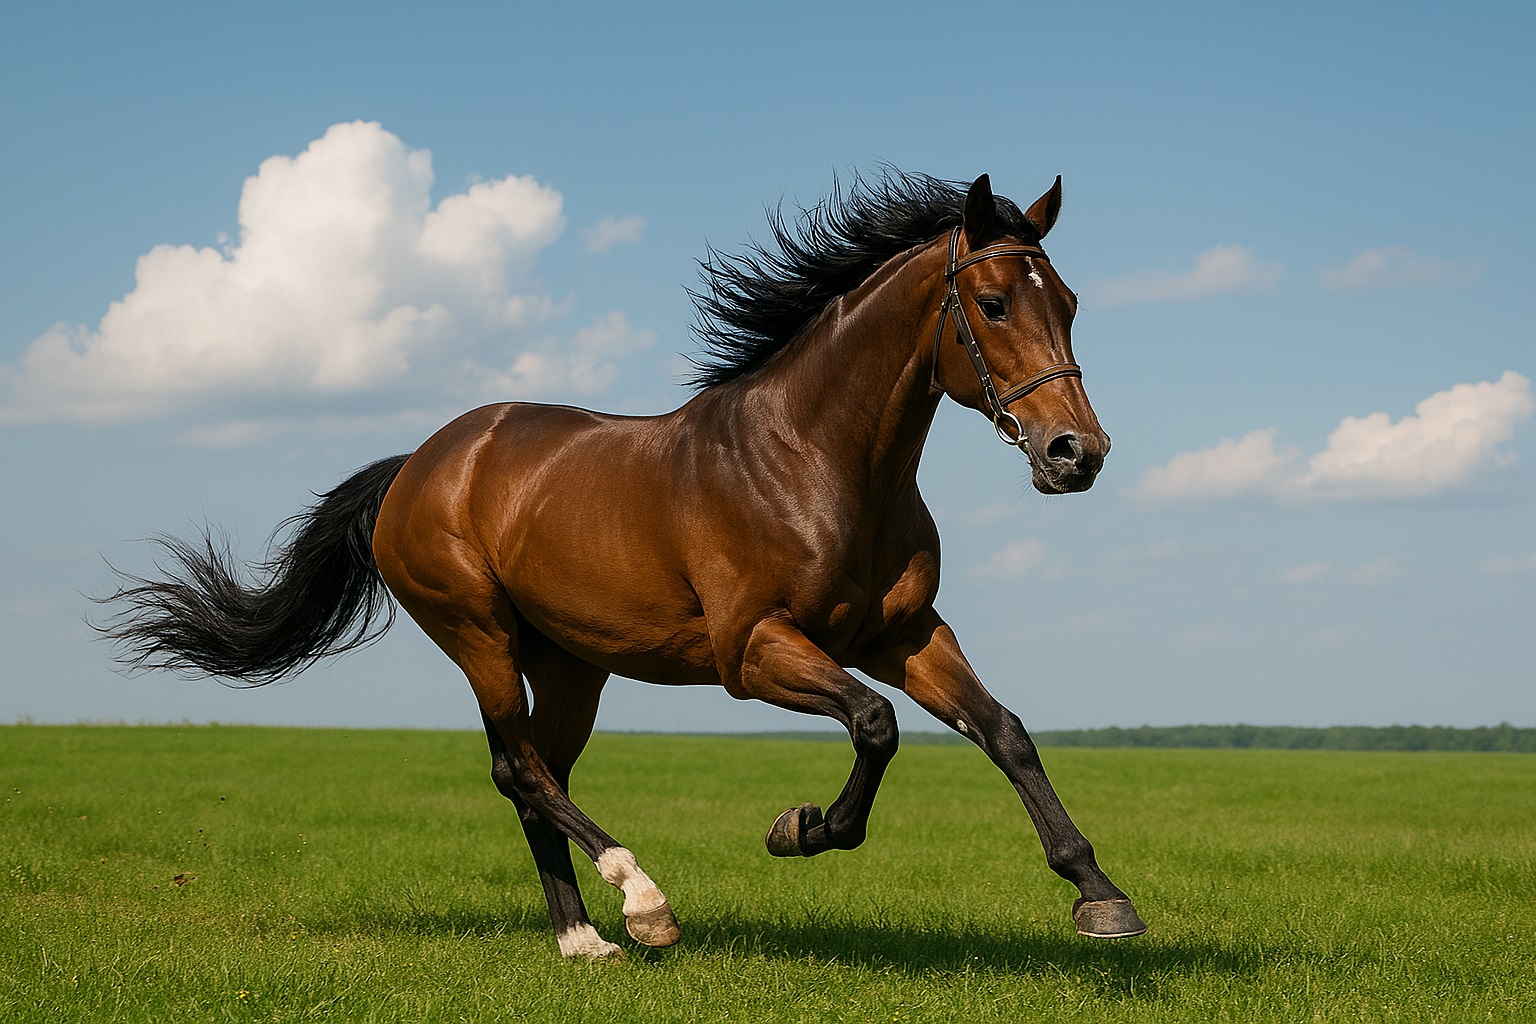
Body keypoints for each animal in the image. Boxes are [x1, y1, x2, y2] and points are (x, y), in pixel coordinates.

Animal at [103, 171, 1147, 958]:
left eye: (1070, 303)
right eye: (993, 303)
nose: (1077, 453)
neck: (815, 461)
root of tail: (419, 464)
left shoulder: (905, 634)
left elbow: (1003, 731)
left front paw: (1100, 895)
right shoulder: (753, 651)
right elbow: (876, 724)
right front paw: (802, 828)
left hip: (571, 664)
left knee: (541, 769)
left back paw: (583, 939)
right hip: (478, 634)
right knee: (518, 769)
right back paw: (641, 907)